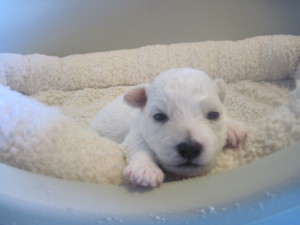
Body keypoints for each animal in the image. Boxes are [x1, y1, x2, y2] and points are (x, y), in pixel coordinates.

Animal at [90, 68, 247, 188]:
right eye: (159, 116)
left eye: (213, 114)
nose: (189, 148)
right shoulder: (136, 131)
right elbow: (140, 145)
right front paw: (146, 169)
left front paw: (233, 127)